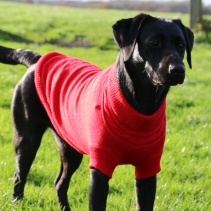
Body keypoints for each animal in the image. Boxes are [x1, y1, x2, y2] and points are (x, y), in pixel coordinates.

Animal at [0, 13, 194, 211]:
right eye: (154, 42)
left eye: (181, 45)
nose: (178, 70)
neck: (141, 105)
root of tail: (38, 60)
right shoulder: (100, 168)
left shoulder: (148, 168)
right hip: (26, 139)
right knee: (19, 176)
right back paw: (16, 202)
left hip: (70, 147)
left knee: (59, 182)